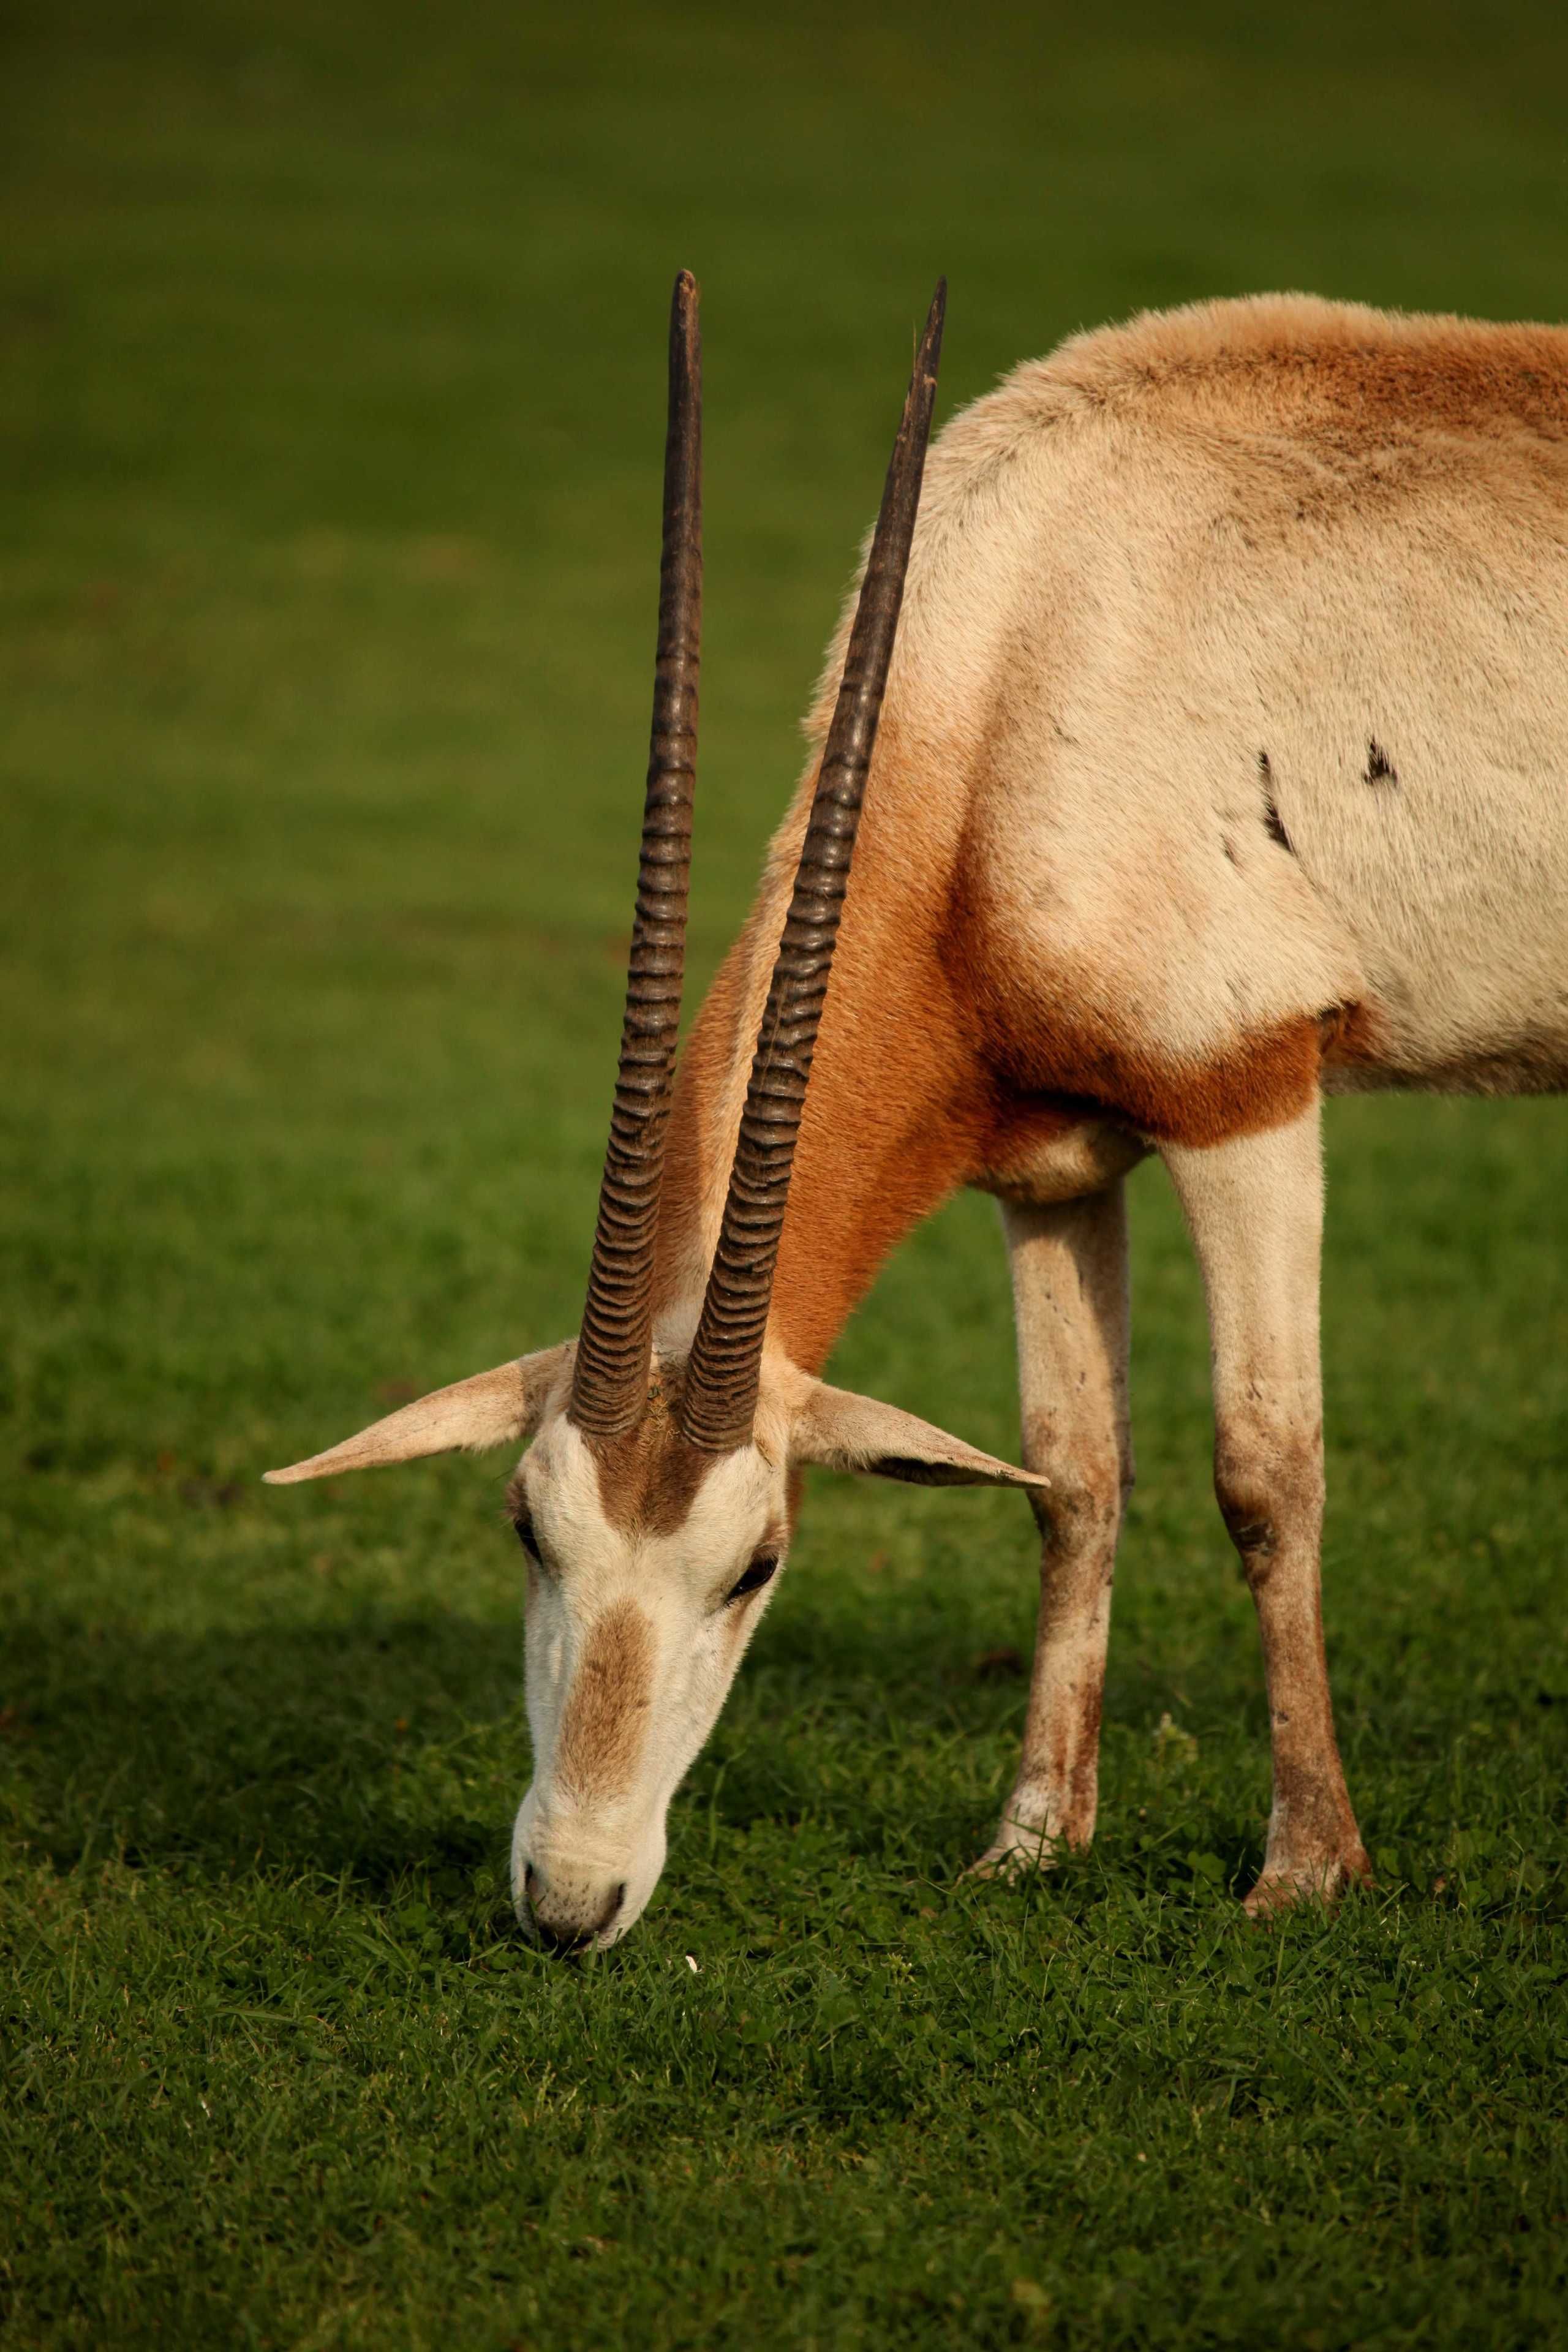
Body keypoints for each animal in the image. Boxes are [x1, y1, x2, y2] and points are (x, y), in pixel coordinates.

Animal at [267, 273, 1568, 1953]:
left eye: (756, 1564)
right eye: (522, 1525)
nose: (567, 1898)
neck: (1016, 656)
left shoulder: (1246, 1091)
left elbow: (1263, 1472)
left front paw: (1300, 1866)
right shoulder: (1052, 1163)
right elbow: (1073, 1474)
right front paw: (1029, 1840)